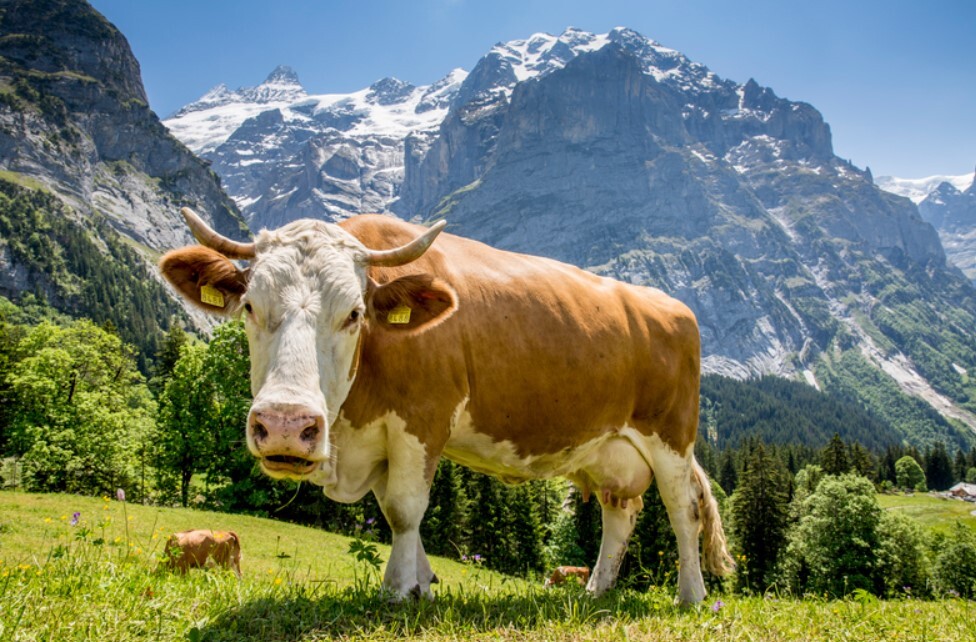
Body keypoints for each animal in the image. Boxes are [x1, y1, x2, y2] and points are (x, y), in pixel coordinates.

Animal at [158, 208, 732, 604]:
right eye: (250, 307)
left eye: (355, 313)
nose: (284, 425)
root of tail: (668, 305)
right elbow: (395, 512)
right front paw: (423, 584)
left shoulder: (422, 421)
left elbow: (405, 509)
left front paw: (397, 590)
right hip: (610, 450)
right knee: (621, 514)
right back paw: (595, 591)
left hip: (672, 436)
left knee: (683, 512)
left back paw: (691, 595)